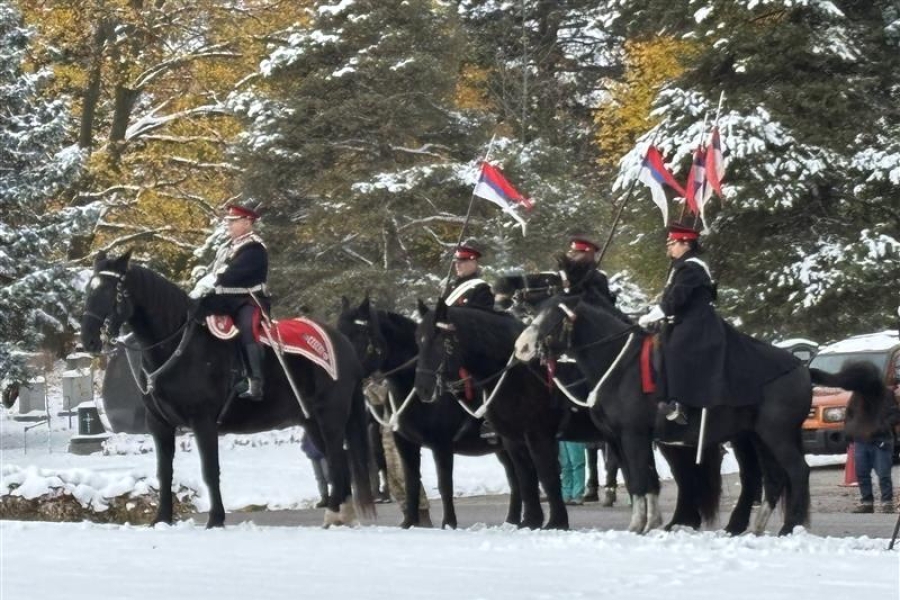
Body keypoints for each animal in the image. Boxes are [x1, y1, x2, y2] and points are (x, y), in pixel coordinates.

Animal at [79, 250, 374, 528]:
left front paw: (216, 519)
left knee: (337, 457)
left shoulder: (203, 421)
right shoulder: (159, 425)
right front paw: (162, 519)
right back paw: (339, 514)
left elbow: (210, 470)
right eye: (90, 289)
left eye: (110, 289)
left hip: (331, 416)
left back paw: (336, 513)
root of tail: (342, 344)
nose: (88, 339)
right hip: (311, 420)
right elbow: (164, 472)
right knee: (336, 459)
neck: (178, 345)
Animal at [337, 296, 522, 529]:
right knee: (515, 477)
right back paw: (512, 520)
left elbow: (445, 484)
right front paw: (409, 523)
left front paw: (448, 523)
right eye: (338, 332)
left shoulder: (441, 445)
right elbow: (412, 482)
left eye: (359, 335)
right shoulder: (405, 444)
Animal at [413, 300, 607, 530]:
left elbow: (547, 475)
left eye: (442, 341)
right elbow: (525, 478)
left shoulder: (539, 436)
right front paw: (531, 521)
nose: (423, 389)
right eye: (419, 341)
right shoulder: (512, 440)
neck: (516, 375)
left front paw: (556, 522)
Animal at [516, 295, 813, 536]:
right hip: (756, 437)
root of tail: (801, 367)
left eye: (555, 318)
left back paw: (789, 528)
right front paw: (651, 522)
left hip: (776, 435)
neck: (618, 366)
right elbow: (643, 479)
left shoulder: (632, 435)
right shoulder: (620, 439)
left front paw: (637, 526)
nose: (522, 348)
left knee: (797, 471)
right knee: (772, 479)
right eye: (535, 314)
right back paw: (754, 527)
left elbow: (638, 478)